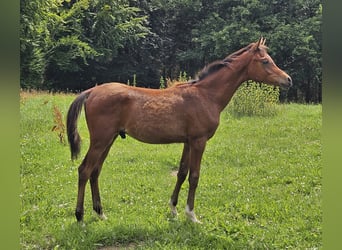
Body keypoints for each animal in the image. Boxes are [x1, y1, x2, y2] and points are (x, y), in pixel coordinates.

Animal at [66, 37, 292, 223]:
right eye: (265, 61)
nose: (288, 79)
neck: (206, 95)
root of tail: (91, 91)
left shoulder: (188, 141)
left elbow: (182, 172)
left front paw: (173, 209)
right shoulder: (199, 141)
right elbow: (194, 176)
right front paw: (191, 215)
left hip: (109, 140)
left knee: (95, 171)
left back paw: (100, 213)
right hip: (100, 140)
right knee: (84, 170)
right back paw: (80, 216)